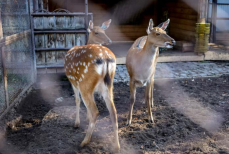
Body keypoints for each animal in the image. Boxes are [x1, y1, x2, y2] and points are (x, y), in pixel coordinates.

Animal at [64, 19, 120, 150]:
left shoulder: (73, 81)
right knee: (113, 111)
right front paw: (86, 118)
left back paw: (84, 141)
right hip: (108, 84)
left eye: (104, 31)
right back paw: (116, 146)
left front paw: (77, 123)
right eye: (97, 32)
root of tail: (105, 58)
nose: (109, 41)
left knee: (95, 111)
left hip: (84, 82)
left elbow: (77, 100)